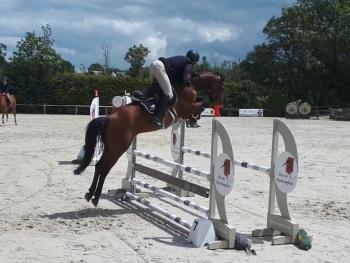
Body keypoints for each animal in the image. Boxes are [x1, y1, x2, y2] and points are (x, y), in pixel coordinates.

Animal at [75, 71, 226, 207]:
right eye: (221, 88)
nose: (219, 103)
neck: (189, 86)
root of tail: (109, 118)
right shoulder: (187, 106)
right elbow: (201, 104)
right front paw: (195, 116)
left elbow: (200, 103)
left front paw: (194, 118)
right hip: (118, 148)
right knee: (103, 167)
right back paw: (95, 197)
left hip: (111, 147)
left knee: (99, 166)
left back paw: (90, 194)